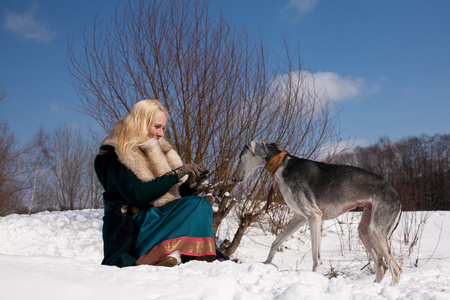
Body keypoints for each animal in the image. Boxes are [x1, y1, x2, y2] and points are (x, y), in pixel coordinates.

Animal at [234, 141, 402, 286]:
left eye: (240, 158)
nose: (234, 179)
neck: (283, 166)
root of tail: (397, 196)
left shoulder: (314, 215)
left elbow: (316, 257)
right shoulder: (300, 218)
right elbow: (275, 242)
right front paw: (266, 264)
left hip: (376, 231)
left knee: (397, 270)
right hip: (365, 231)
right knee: (382, 266)